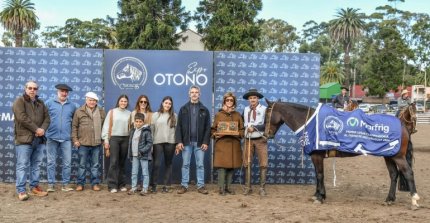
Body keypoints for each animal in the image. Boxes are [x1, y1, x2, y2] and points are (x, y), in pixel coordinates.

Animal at [262, 99, 420, 209]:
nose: (266, 134)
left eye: (267, 114)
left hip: (398, 157)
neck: (311, 123)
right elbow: (318, 175)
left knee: (408, 173)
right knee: (394, 175)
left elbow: (320, 175)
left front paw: (320, 197)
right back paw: (389, 200)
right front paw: (318, 195)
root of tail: (403, 125)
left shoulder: (317, 156)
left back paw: (414, 200)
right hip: (389, 156)